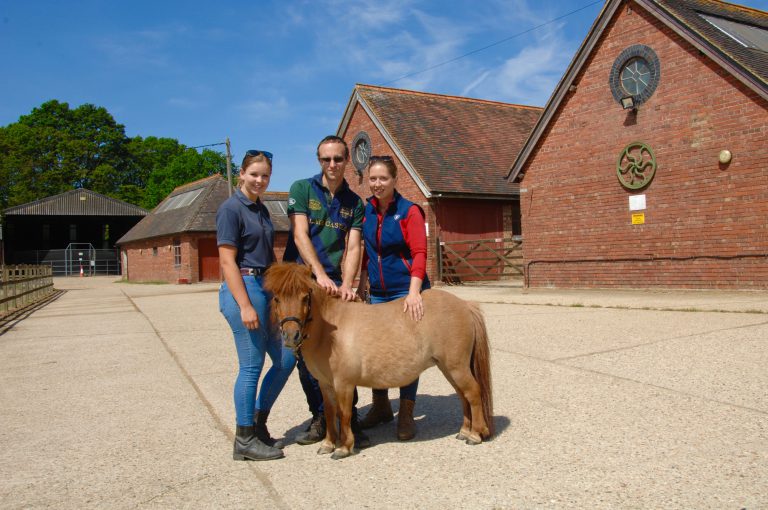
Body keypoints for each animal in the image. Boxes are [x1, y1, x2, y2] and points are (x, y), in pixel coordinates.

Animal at [263, 262, 494, 460]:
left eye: (305, 297)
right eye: (277, 298)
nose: (290, 336)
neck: (330, 331)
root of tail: (465, 305)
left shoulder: (344, 384)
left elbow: (344, 414)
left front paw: (344, 447)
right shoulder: (325, 384)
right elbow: (329, 413)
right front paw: (328, 444)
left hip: (457, 367)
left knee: (473, 392)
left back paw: (475, 435)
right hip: (448, 368)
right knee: (463, 395)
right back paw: (464, 431)